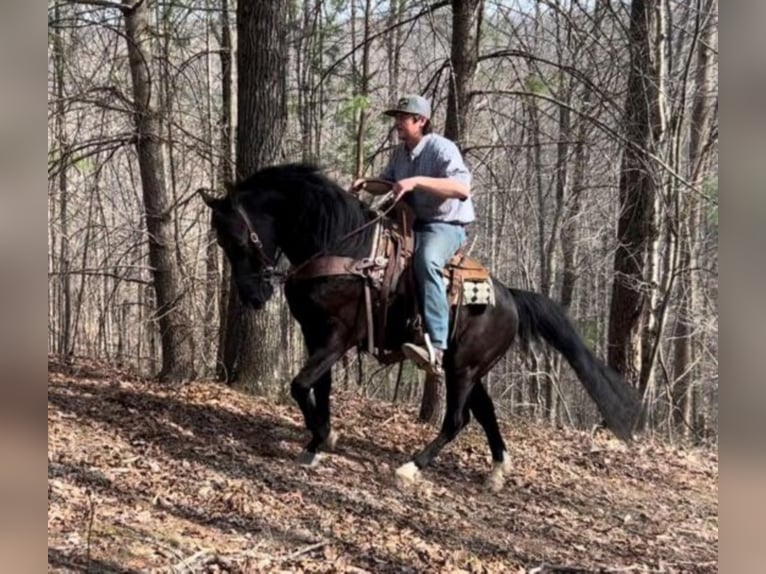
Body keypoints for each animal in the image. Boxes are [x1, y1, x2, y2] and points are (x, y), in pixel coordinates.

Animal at [201, 162, 640, 490]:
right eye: (222, 242)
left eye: (238, 239)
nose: (254, 297)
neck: (344, 249)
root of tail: (511, 298)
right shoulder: (315, 336)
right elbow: (317, 387)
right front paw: (317, 441)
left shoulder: (338, 337)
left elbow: (300, 384)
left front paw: (324, 436)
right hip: (470, 368)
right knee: (485, 412)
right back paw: (497, 471)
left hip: (462, 368)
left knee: (457, 419)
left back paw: (413, 466)